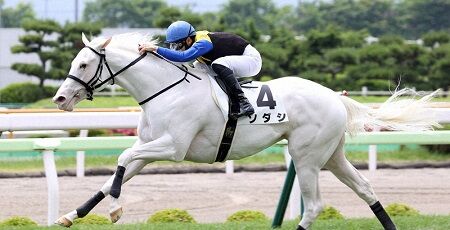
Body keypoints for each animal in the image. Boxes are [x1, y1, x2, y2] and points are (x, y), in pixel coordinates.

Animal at [51, 32, 438, 230]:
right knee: (365, 188)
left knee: (314, 206)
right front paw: (72, 215)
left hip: (307, 156)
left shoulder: (172, 147)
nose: (60, 99)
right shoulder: (151, 147)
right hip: (332, 155)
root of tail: (334, 96)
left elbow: (121, 156)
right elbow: (112, 176)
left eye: (83, 64)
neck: (166, 89)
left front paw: (116, 210)